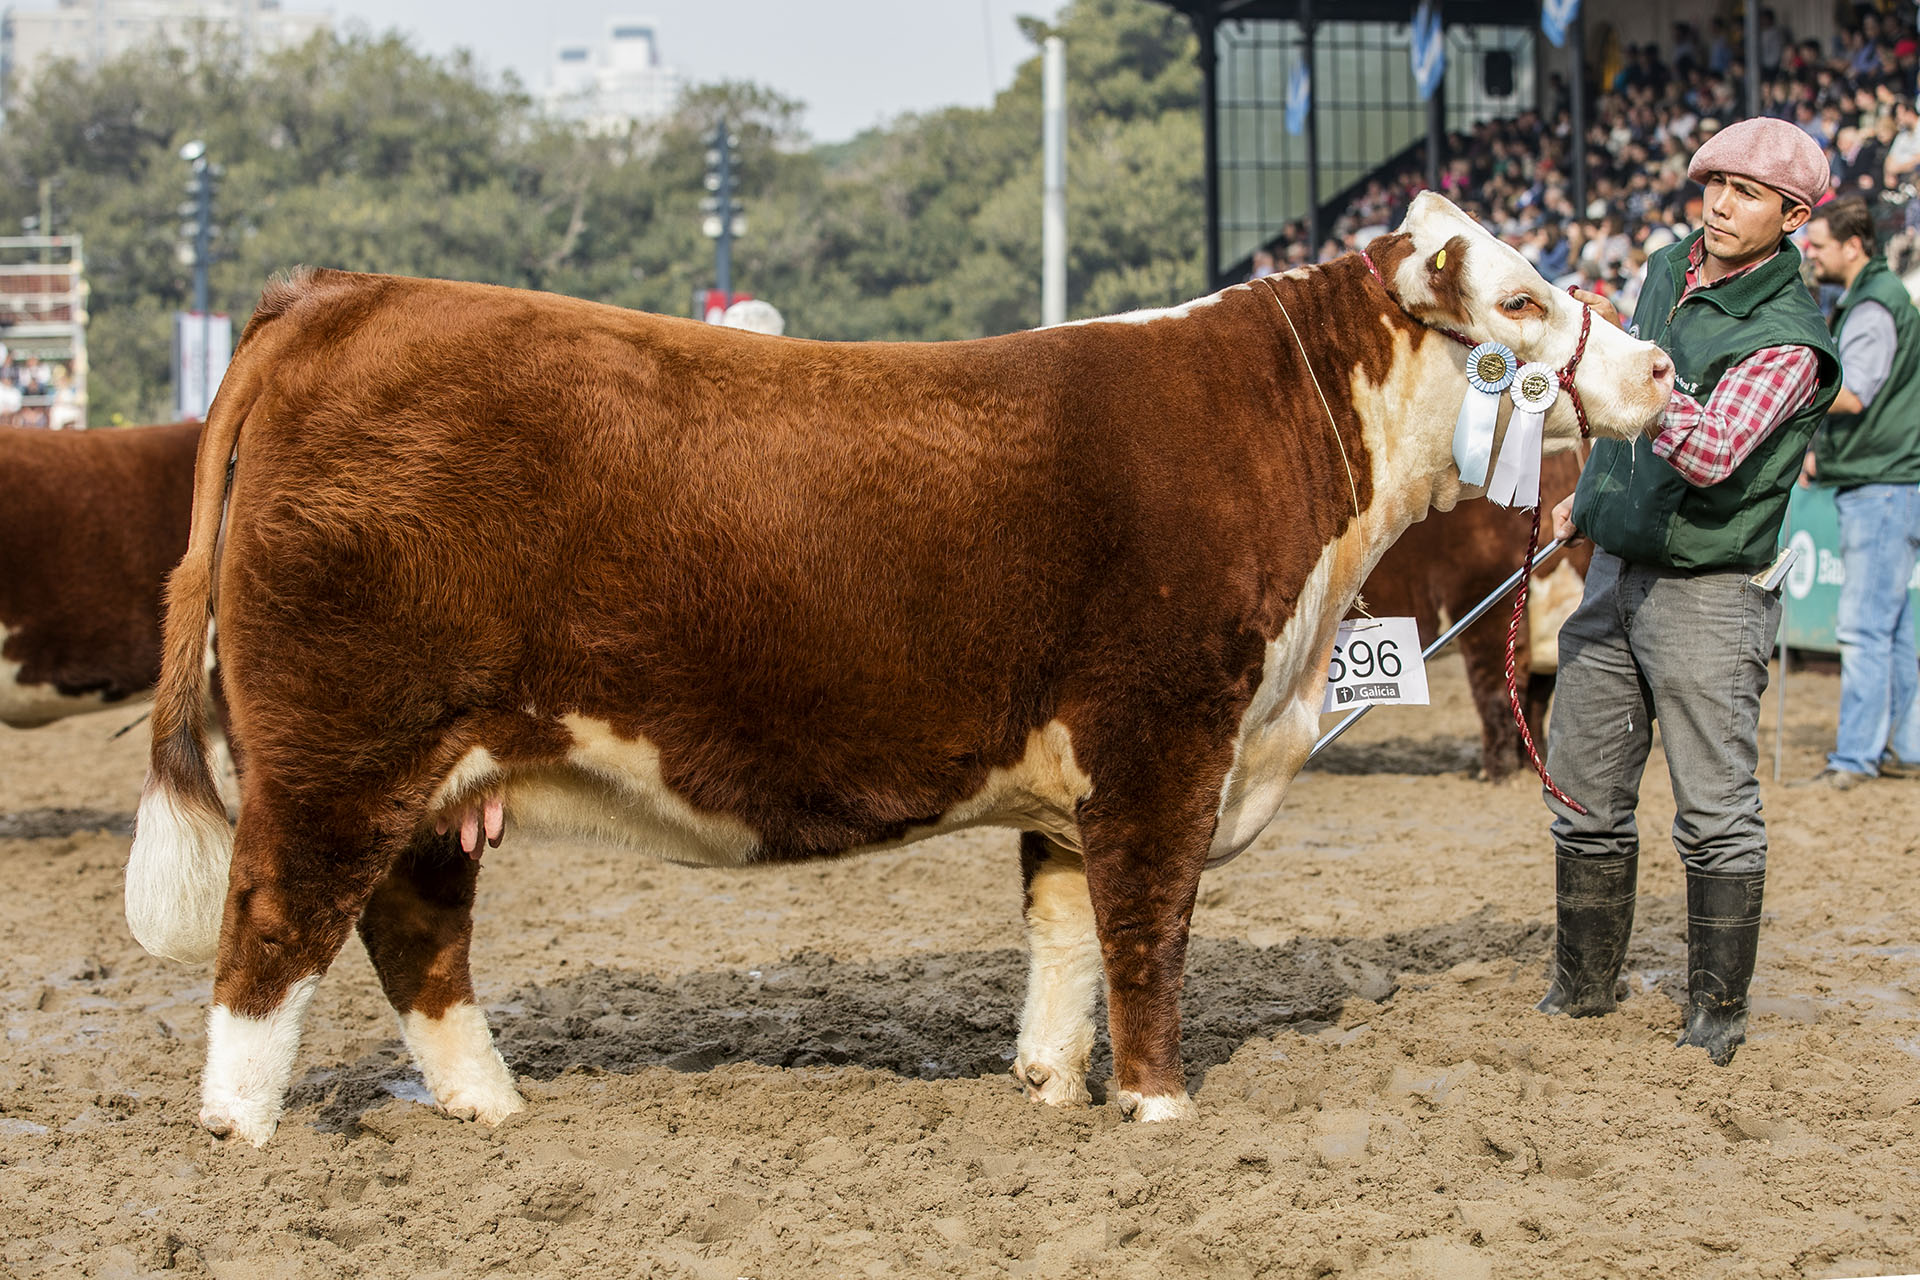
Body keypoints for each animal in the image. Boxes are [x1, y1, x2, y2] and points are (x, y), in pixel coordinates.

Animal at [127, 195, 1674, 1143]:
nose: (1660, 369)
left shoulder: (1080, 775)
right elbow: (1146, 934)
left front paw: (1048, 1085)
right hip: (339, 751)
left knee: (416, 930)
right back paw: (243, 1132)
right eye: (1524, 303)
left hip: (443, 766)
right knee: (273, 931)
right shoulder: (1165, 735)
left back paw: (489, 1106)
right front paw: (1160, 1110)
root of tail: (341, 298)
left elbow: (1063, 937)